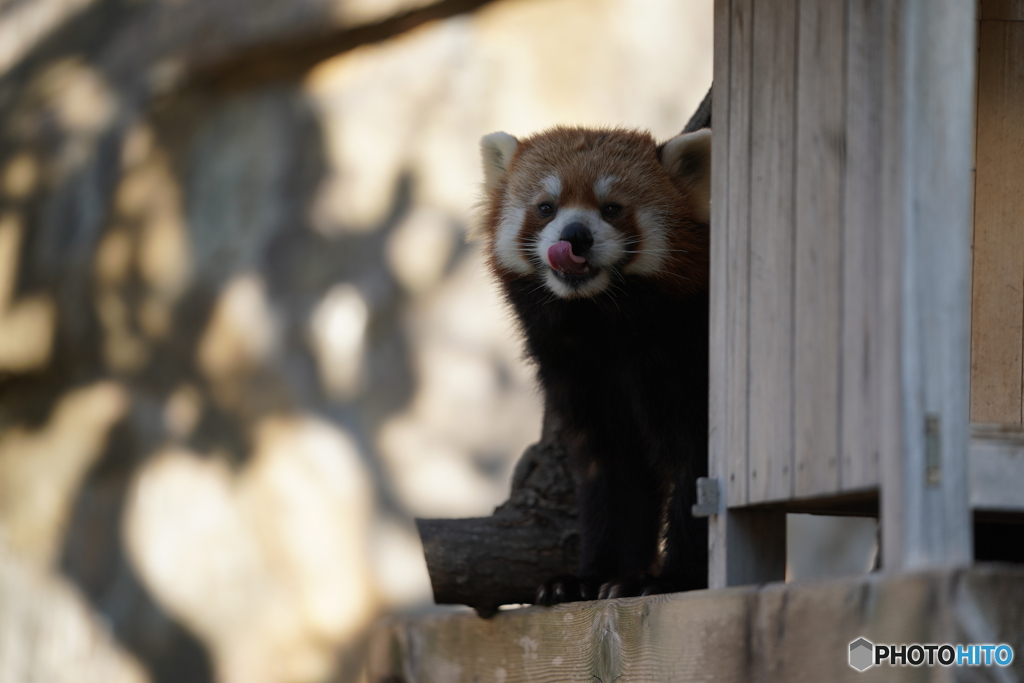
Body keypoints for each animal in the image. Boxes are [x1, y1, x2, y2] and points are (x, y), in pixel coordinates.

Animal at [479, 126, 712, 602]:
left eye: (612, 208)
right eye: (546, 207)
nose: (575, 235)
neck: (600, 323)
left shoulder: (685, 355)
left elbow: (695, 465)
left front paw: (673, 579)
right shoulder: (579, 374)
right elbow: (612, 473)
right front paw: (588, 580)